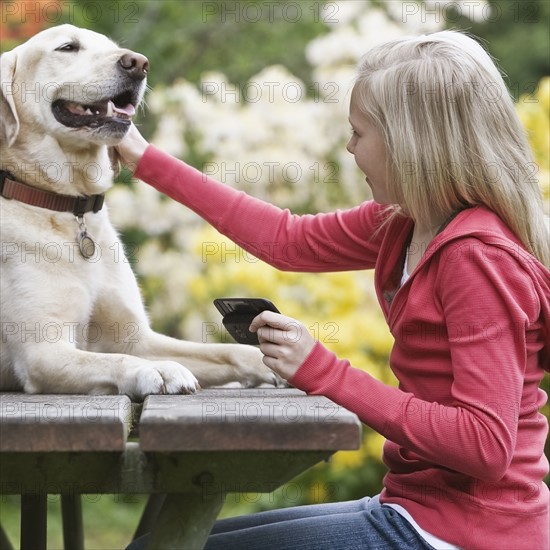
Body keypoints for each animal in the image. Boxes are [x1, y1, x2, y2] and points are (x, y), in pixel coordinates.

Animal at [1, 24, 280, 402]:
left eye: (112, 47)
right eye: (68, 47)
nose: (138, 64)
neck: (69, 208)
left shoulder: (138, 338)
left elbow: (224, 350)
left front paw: (271, 360)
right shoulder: (42, 351)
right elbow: (116, 360)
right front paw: (156, 370)